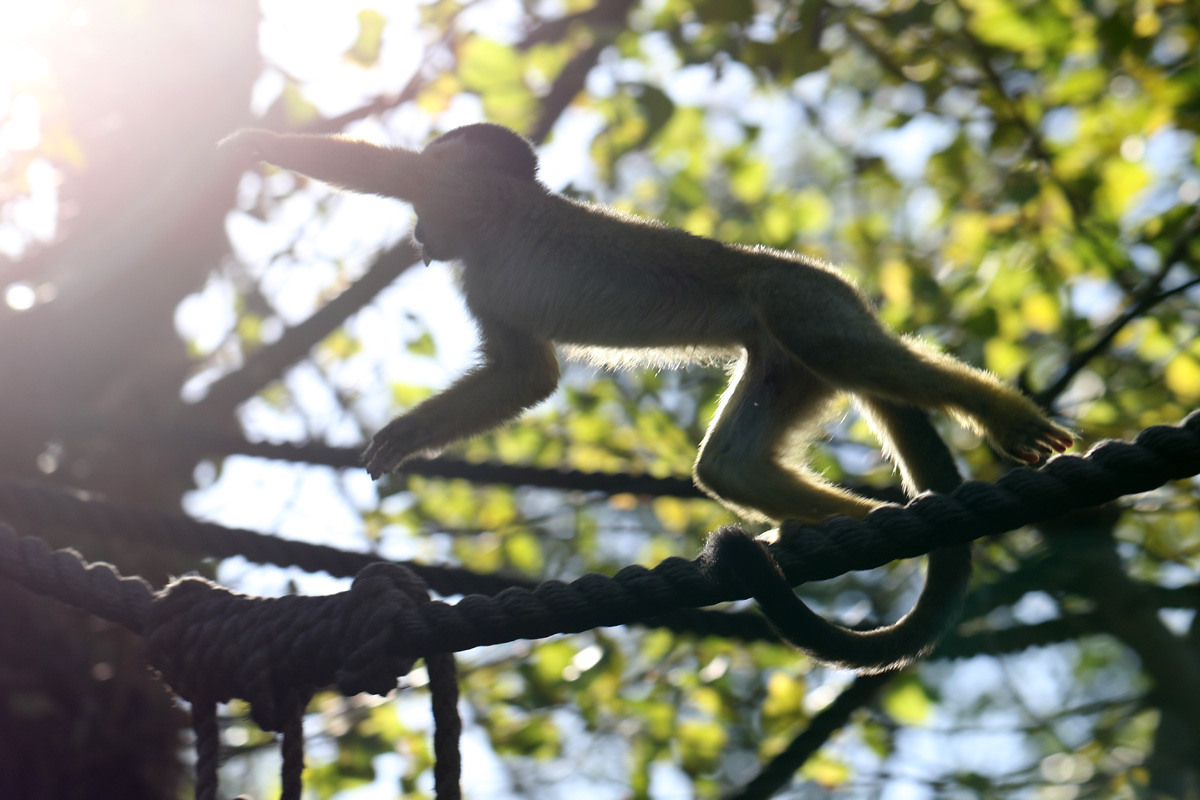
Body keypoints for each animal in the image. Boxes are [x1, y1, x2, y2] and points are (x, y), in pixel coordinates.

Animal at [219, 123, 1072, 671]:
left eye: (429, 215)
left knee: (841, 348)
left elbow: (384, 171)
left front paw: (252, 142)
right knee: (727, 466)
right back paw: (846, 527)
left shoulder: (462, 189)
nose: (421, 241)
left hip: (803, 300)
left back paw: (999, 417)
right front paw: (401, 438)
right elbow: (527, 378)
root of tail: (831, 281)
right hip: (781, 359)